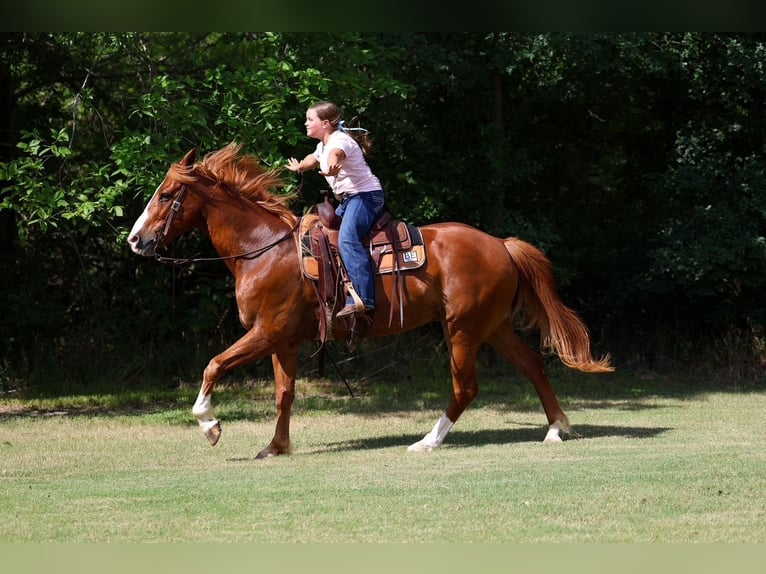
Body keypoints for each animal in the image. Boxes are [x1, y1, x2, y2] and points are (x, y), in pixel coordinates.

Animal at [127, 143, 613, 458]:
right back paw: (556, 429)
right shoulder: (284, 341)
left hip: (462, 329)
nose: (135, 239)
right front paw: (276, 446)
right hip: (492, 325)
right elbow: (285, 393)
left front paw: (209, 424)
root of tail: (500, 244)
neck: (265, 249)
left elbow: (214, 365)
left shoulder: (266, 332)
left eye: (167, 195)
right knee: (531, 365)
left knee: (466, 387)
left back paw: (429, 441)